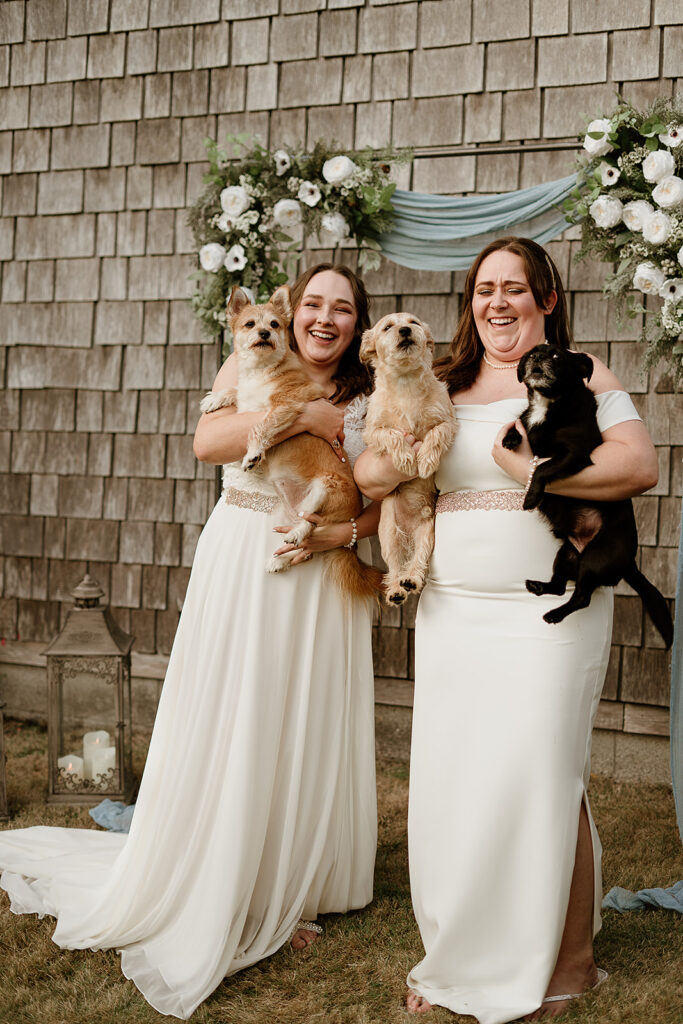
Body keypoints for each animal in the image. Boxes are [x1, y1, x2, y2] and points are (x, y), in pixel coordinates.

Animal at [201, 282, 385, 598]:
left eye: (274, 324)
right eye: (250, 324)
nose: (264, 333)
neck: (261, 371)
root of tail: (353, 512)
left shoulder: (287, 405)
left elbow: (261, 425)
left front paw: (253, 453)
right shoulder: (248, 397)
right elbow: (236, 392)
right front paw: (216, 398)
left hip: (324, 489)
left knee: (310, 527)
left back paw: (298, 535)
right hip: (287, 513)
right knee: (306, 545)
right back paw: (281, 560)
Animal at [360, 309, 456, 598]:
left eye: (413, 322)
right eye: (387, 327)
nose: (404, 330)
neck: (406, 383)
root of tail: (410, 533)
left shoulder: (448, 422)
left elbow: (435, 435)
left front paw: (424, 462)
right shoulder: (373, 431)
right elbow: (392, 435)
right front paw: (405, 460)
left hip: (428, 535)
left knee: (417, 561)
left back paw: (411, 580)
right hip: (389, 535)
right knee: (394, 567)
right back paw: (396, 590)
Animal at [501, 346, 671, 647]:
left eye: (556, 356)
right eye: (530, 354)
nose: (536, 357)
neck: (550, 403)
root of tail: (629, 562)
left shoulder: (575, 454)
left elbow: (542, 467)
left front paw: (531, 497)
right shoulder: (527, 422)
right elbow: (517, 421)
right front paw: (510, 438)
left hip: (595, 559)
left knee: (581, 597)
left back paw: (554, 615)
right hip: (565, 555)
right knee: (559, 587)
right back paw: (540, 587)